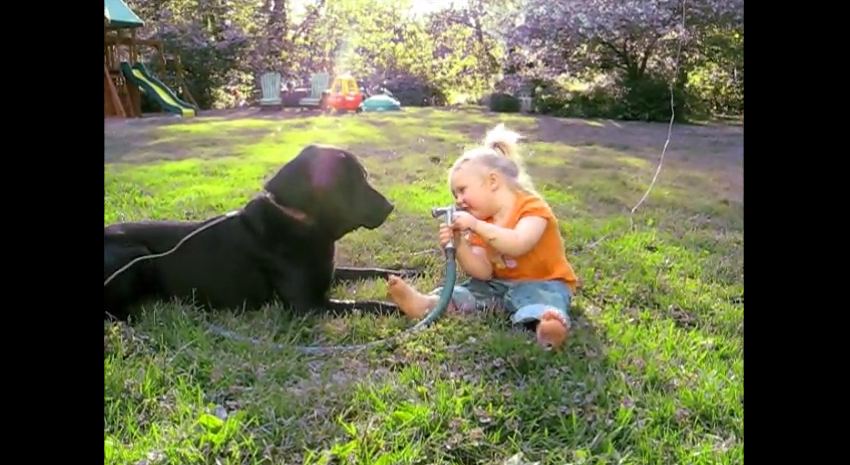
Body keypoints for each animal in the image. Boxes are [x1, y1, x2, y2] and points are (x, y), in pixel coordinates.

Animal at [104, 145, 410, 320]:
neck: (302, 221)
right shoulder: (309, 305)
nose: (390, 206)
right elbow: (371, 304)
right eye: (349, 181)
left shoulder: (329, 273)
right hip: (138, 255)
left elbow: (371, 270)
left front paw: (407, 272)